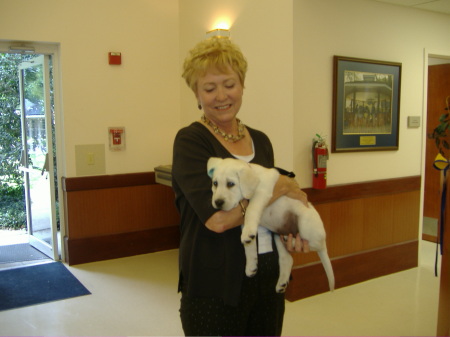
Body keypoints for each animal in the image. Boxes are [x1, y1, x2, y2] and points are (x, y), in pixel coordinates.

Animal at [207, 156, 334, 292]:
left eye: (230, 184)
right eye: (215, 183)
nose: (218, 202)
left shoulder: (261, 193)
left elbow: (251, 209)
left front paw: (247, 235)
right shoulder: (243, 221)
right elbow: (249, 246)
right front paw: (251, 265)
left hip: (304, 224)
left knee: (316, 244)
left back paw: (294, 242)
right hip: (277, 234)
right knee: (287, 258)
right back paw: (282, 282)